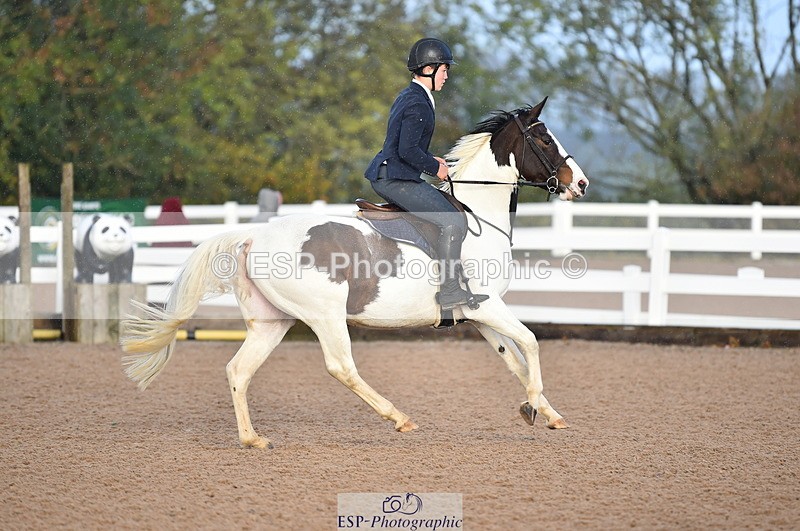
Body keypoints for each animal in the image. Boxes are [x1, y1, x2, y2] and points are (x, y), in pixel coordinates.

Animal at [121, 97, 589, 449]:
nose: (581, 184)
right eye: (543, 138)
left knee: (239, 370)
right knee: (341, 366)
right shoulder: (488, 306)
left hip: (272, 321)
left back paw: (253, 439)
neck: (479, 215)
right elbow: (530, 345)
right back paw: (398, 417)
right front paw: (533, 406)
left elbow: (514, 359)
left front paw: (547, 412)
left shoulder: (478, 313)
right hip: (326, 314)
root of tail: (253, 235)